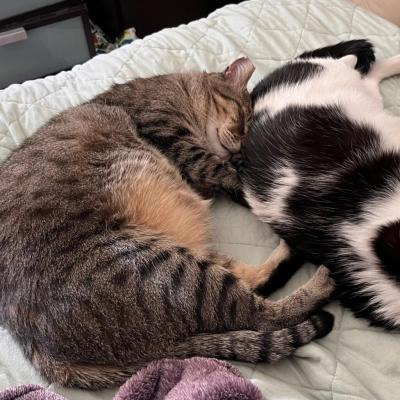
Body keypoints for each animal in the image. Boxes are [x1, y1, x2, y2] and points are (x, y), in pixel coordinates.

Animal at [0, 57, 334, 390]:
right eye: (241, 117)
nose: (240, 148)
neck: (175, 88)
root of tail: (40, 351)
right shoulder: (172, 136)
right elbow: (226, 173)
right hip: (159, 269)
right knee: (261, 315)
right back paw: (321, 278)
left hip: (175, 258)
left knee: (257, 286)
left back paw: (295, 247)